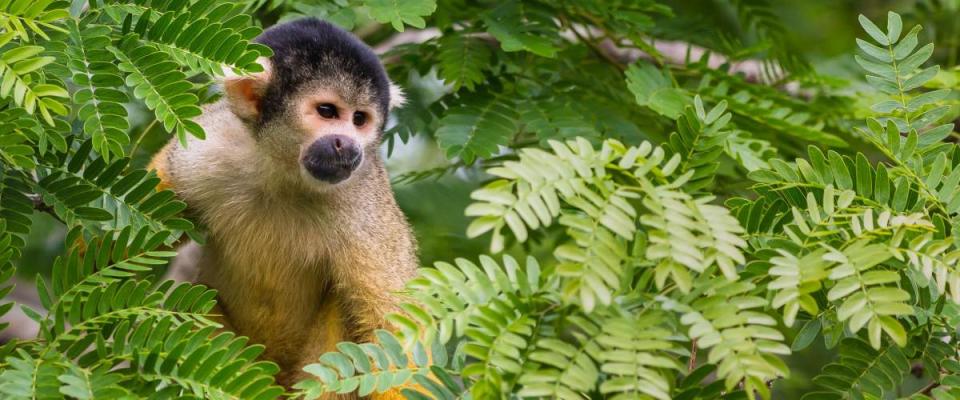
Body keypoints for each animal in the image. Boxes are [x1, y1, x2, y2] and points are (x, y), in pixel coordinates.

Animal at [150, 17, 416, 392]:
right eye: (327, 111)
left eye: (359, 120)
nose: (348, 145)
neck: (281, 171)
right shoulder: (210, 143)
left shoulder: (363, 194)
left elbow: (389, 327)